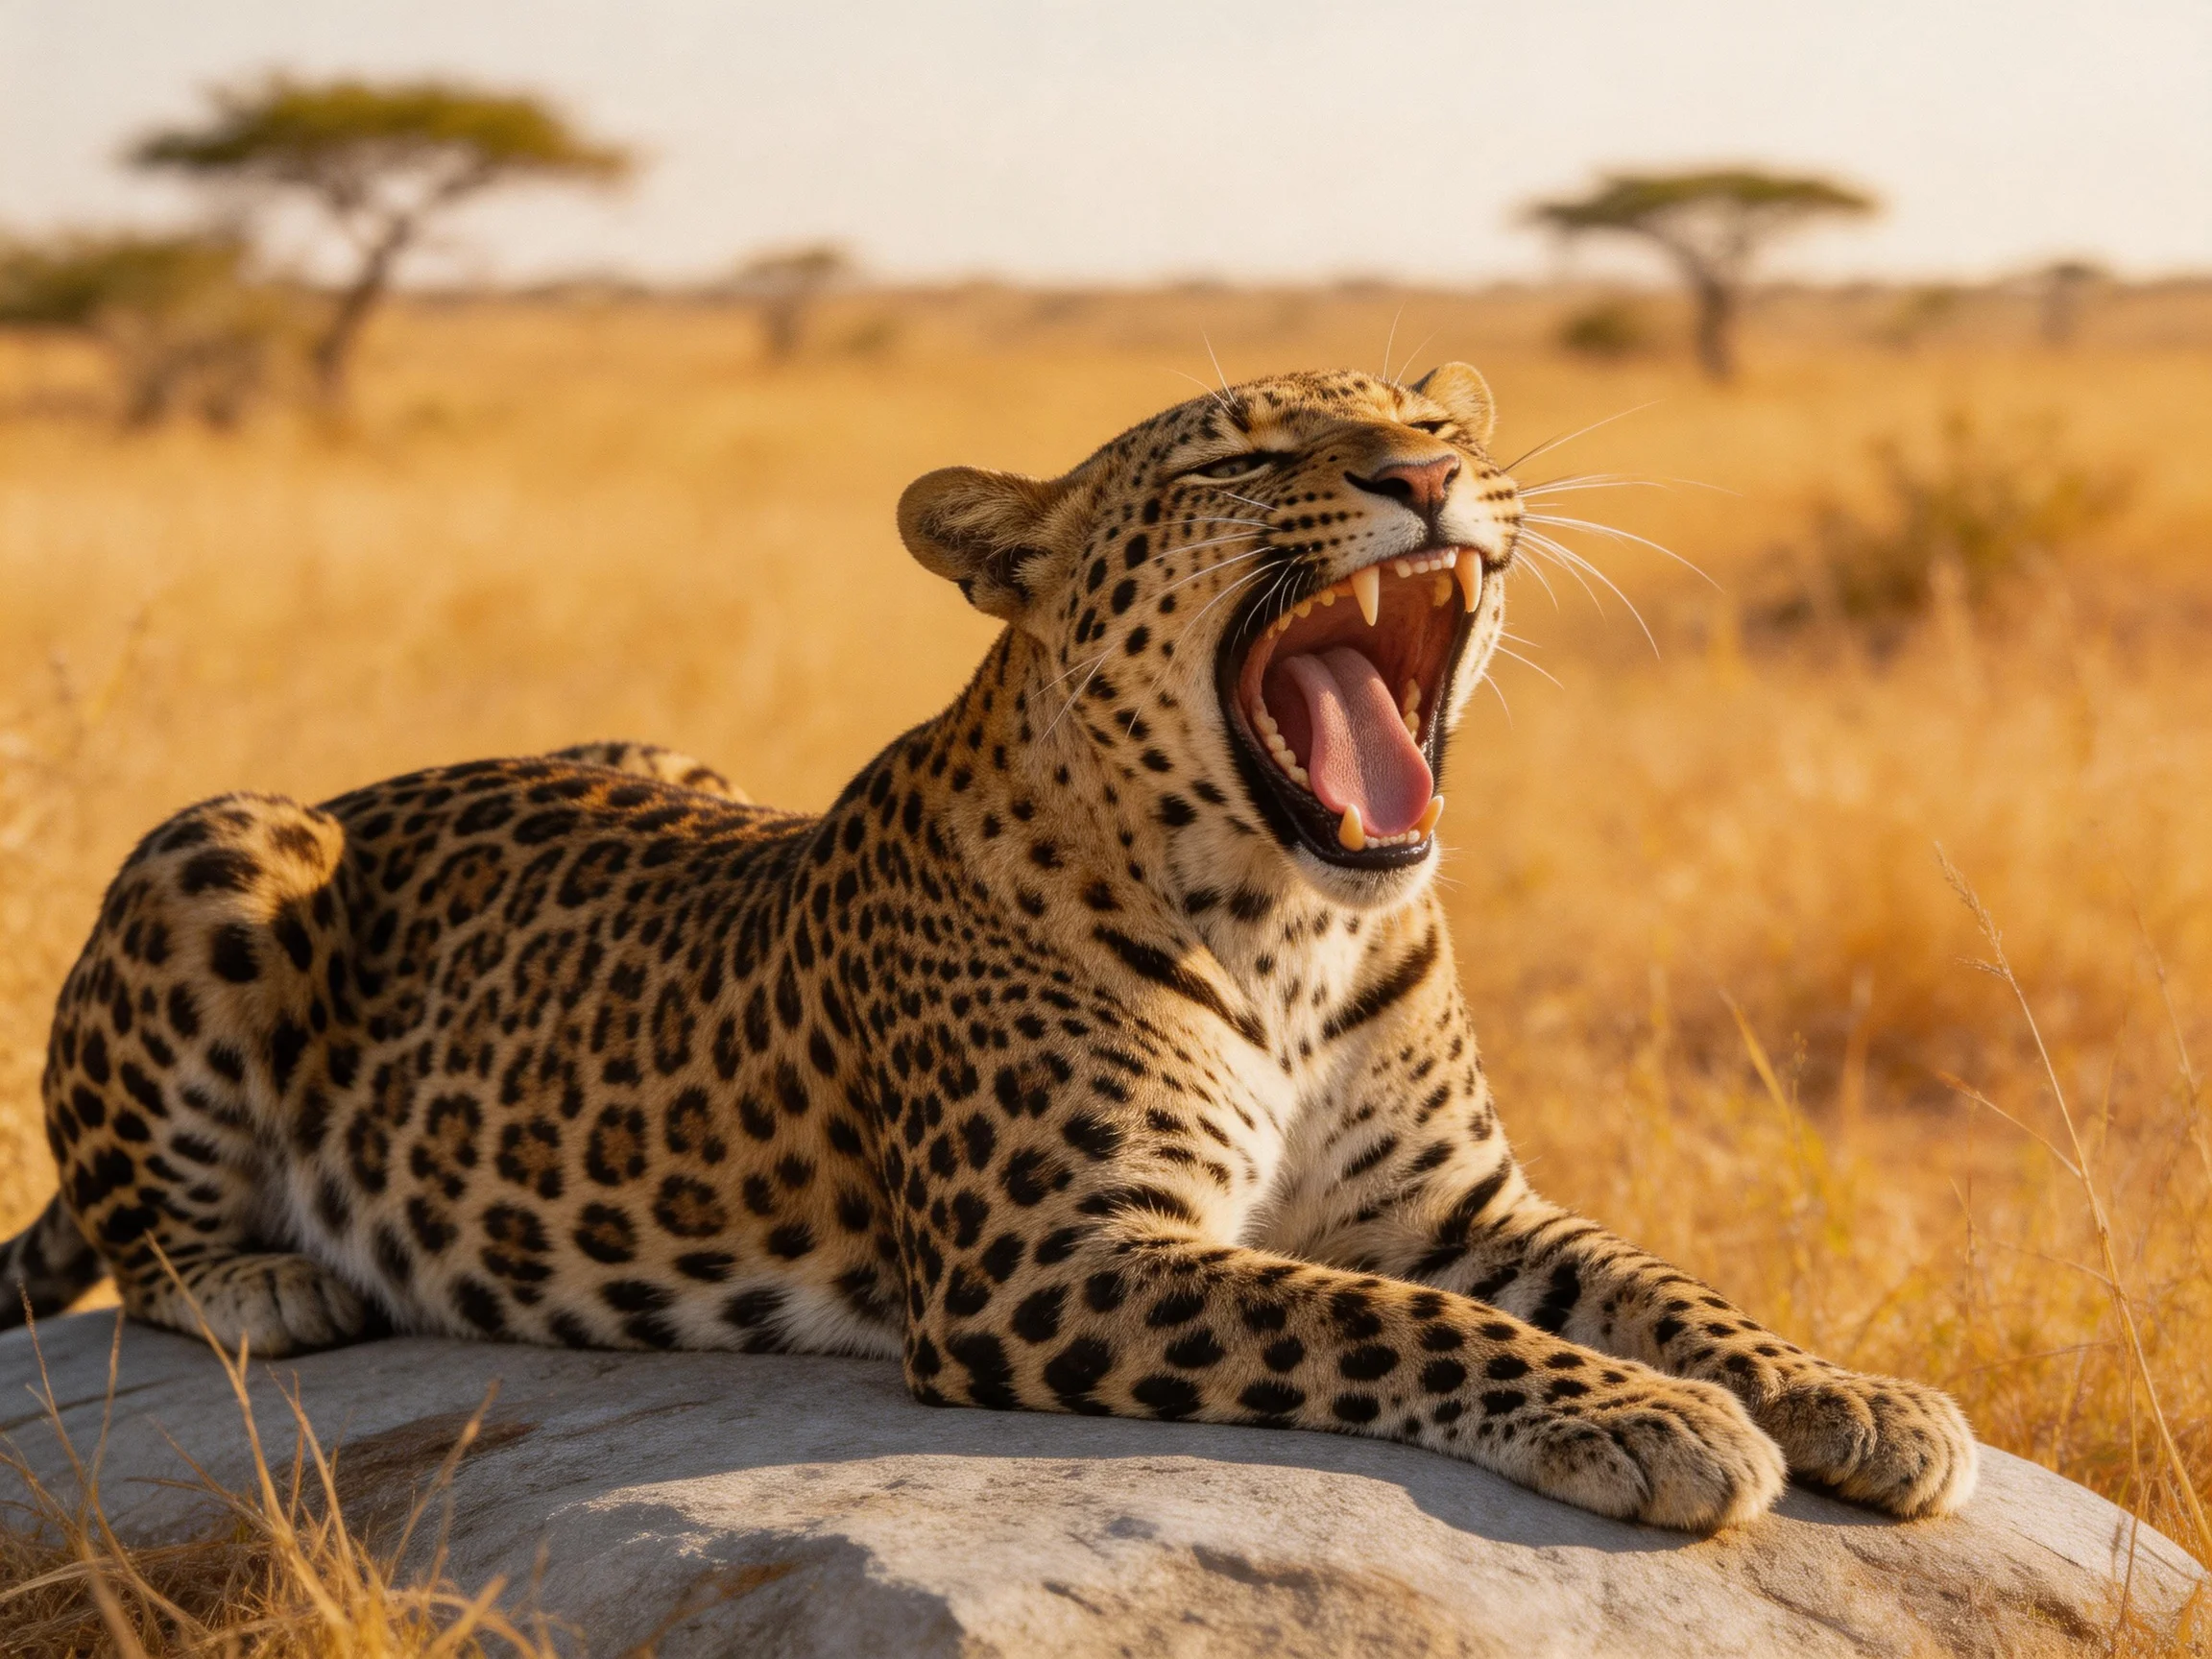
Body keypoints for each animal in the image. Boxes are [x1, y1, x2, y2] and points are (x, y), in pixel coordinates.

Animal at [2, 364, 1976, 1533]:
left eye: (1454, 430)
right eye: (1247, 451)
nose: (1427, 471)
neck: (1292, 926)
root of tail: (373, 780)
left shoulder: (1461, 1203)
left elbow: (1669, 1282)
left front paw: (1850, 1395)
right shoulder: (1052, 1255)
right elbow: (1383, 1317)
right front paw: (1652, 1424)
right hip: (222, 839)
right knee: (131, 1229)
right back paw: (269, 1282)